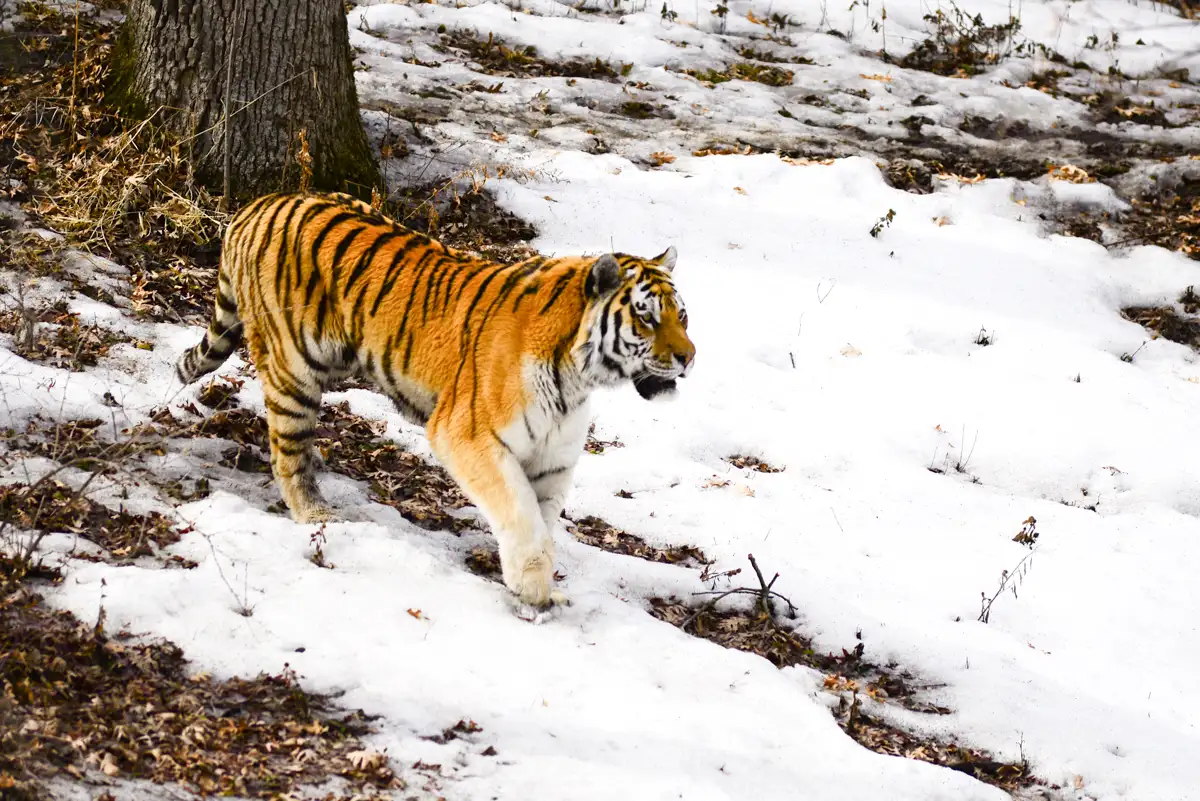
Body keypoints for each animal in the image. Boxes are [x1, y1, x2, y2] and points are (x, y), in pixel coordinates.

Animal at [171, 191, 696, 606]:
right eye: (647, 318)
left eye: (683, 316)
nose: (690, 358)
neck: (578, 379)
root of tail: (257, 205)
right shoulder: (467, 434)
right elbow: (520, 512)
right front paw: (532, 588)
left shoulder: (553, 461)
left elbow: (543, 522)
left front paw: (540, 585)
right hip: (293, 369)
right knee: (286, 449)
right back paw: (315, 511)